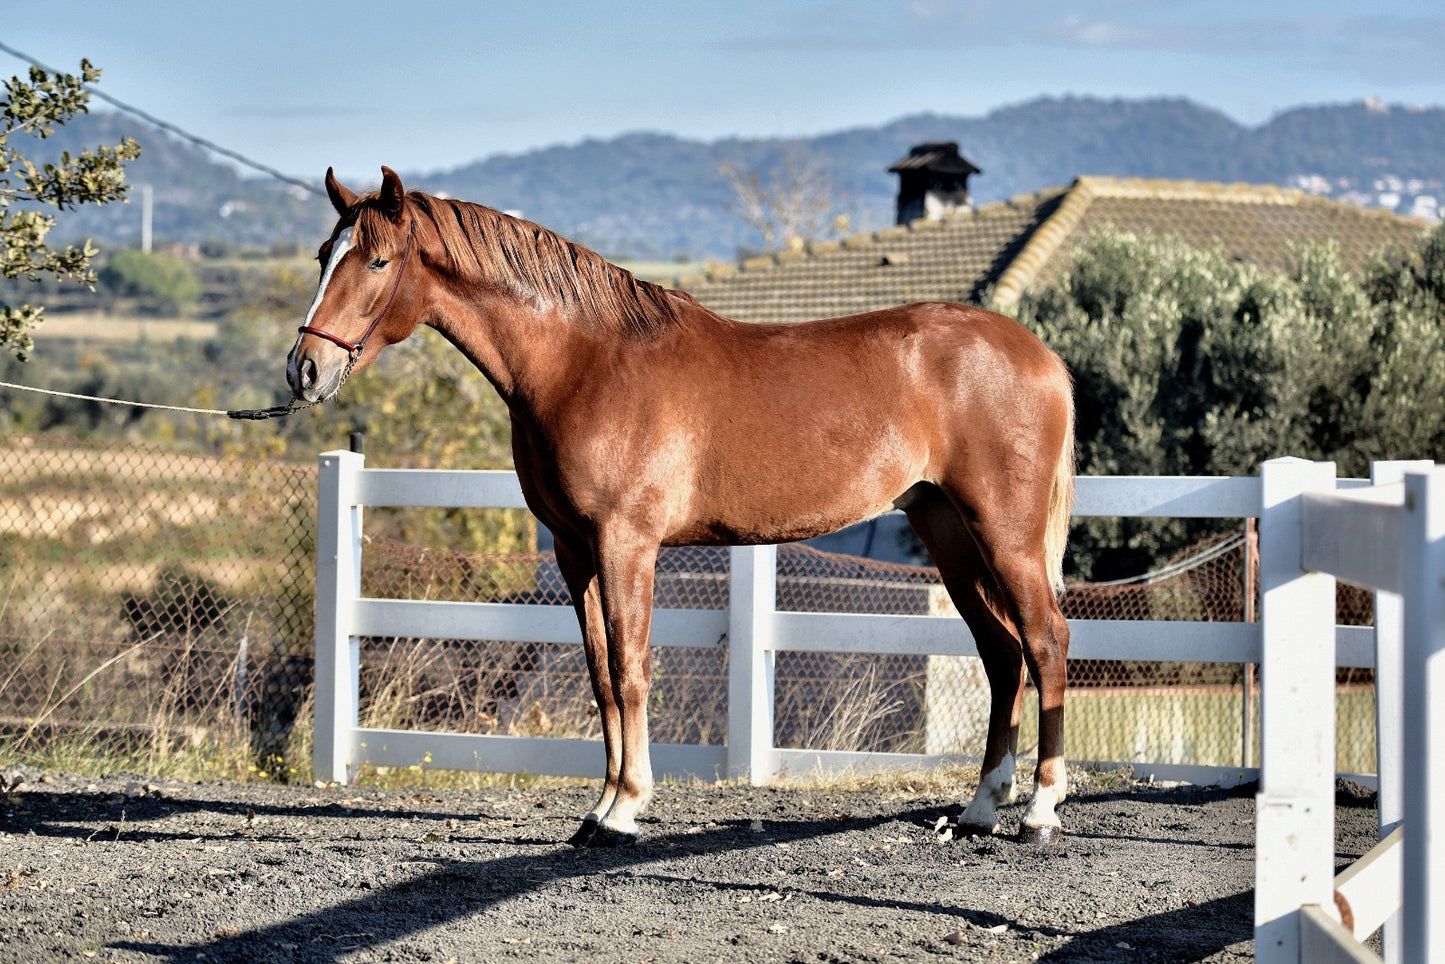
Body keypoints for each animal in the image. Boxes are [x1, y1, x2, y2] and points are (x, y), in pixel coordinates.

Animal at [286, 166, 1076, 847]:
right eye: (325, 254)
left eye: (378, 262)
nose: (304, 371)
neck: (584, 362)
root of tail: (1039, 356)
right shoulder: (575, 551)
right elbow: (602, 676)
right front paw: (600, 808)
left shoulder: (625, 543)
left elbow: (633, 668)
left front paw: (626, 808)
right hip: (947, 531)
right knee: (1001, 652)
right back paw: (980, 808)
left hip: (1004, 534)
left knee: (1045, 642)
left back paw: (1039, 811)